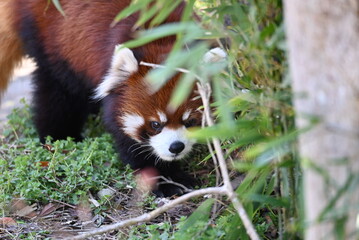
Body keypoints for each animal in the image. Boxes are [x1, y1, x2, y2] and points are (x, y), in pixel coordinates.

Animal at [0, 0, 225, 197]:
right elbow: (129, 141)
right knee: (58, 92)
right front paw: (166, 180)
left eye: (190, 121)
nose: (176, 147)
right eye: (155, 124)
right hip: (51, 34)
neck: (161, 38)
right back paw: (58, 136)